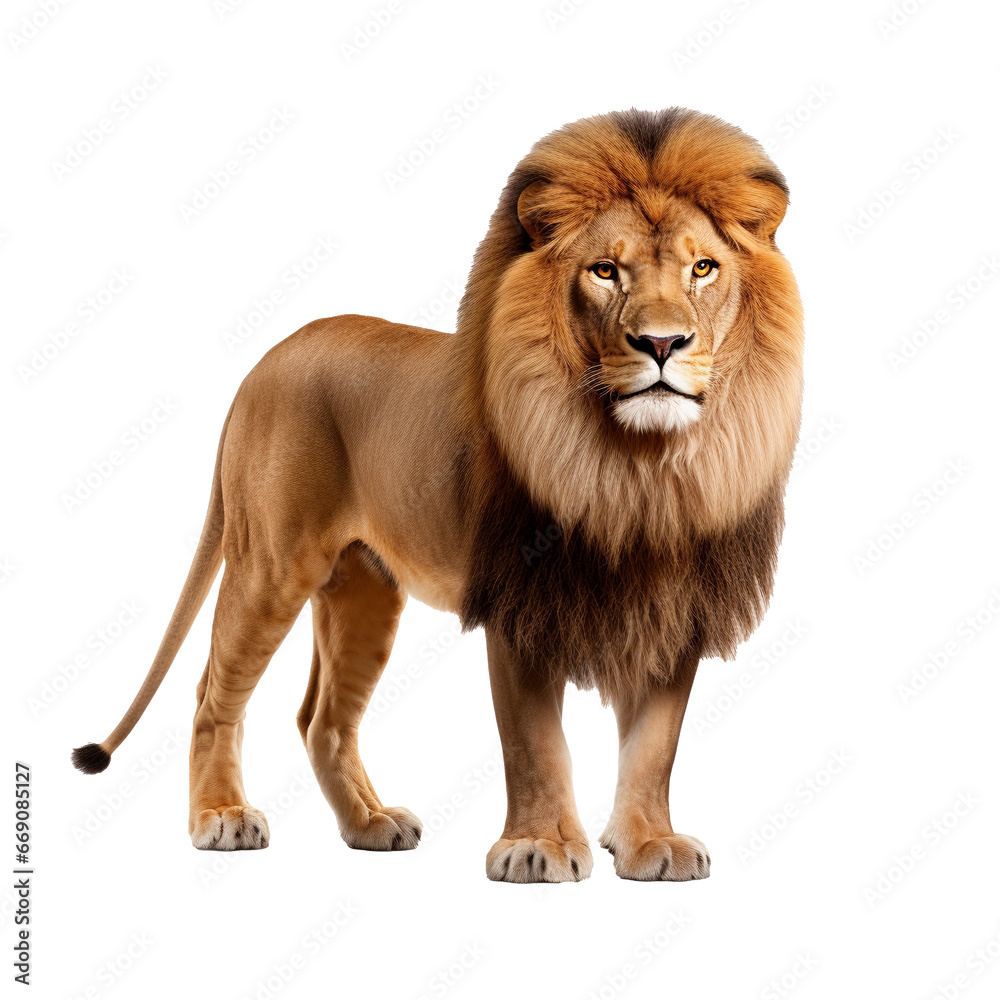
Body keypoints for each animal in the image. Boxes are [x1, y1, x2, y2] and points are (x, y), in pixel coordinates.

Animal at [72, 108, 803, 882]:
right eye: (606, 271)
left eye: (703, 268)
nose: (662, 343)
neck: (640, 468)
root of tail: (269, 358)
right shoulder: (521, 602)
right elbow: (535, 744)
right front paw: (539, 849)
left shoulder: (676, 608)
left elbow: (655, 745)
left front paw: (648, 844)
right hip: (270, 562)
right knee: (213, 693)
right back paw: (221, 817)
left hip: (363, 588)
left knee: (322, 718)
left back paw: (370, 824)